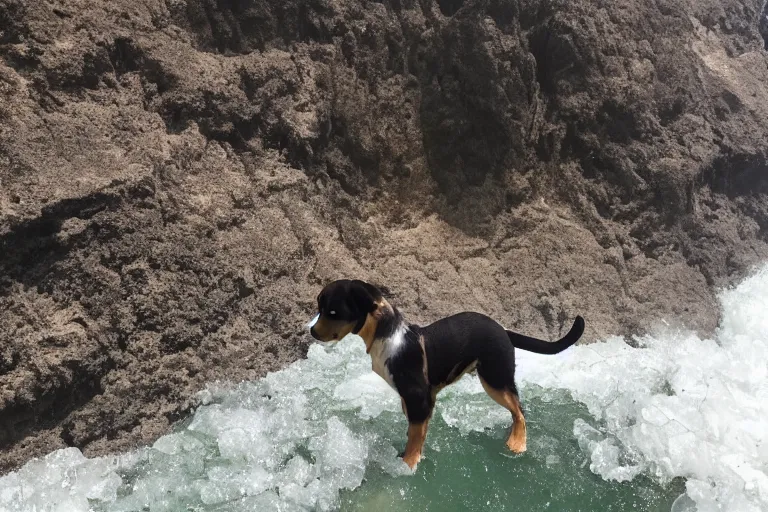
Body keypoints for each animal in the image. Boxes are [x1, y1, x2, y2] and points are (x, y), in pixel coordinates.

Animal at [306, 280, 584, 468]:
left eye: (333, 312)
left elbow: (414, 438)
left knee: (520, 411)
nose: (312, 332)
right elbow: (417, 433)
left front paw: (408, 464)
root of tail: (503, 330)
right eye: (320, 307)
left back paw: (516, 443)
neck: (385, 334)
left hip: (494, 378)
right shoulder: (419, 402)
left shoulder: (418, 399)